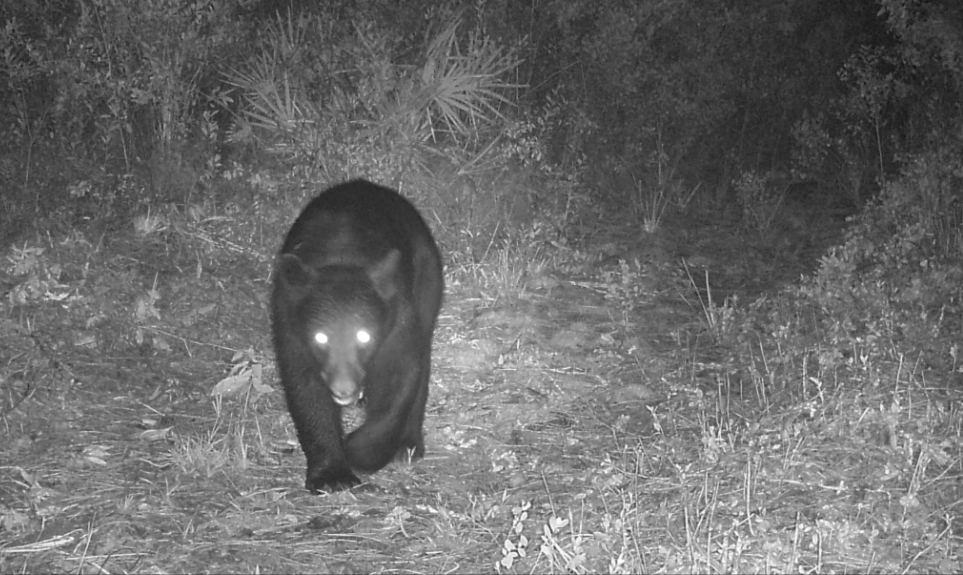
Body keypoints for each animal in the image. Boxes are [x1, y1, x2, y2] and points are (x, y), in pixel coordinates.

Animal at [272, 181, 444, 496]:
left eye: (364, 335)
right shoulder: (288, 322)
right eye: (320, 337)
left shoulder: (398, 316)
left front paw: (358, 451)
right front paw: (331, 475)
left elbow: (400, 377)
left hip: (427, 276)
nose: (344, 387)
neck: (342, 256)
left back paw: (408, 445)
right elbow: (305, 389)